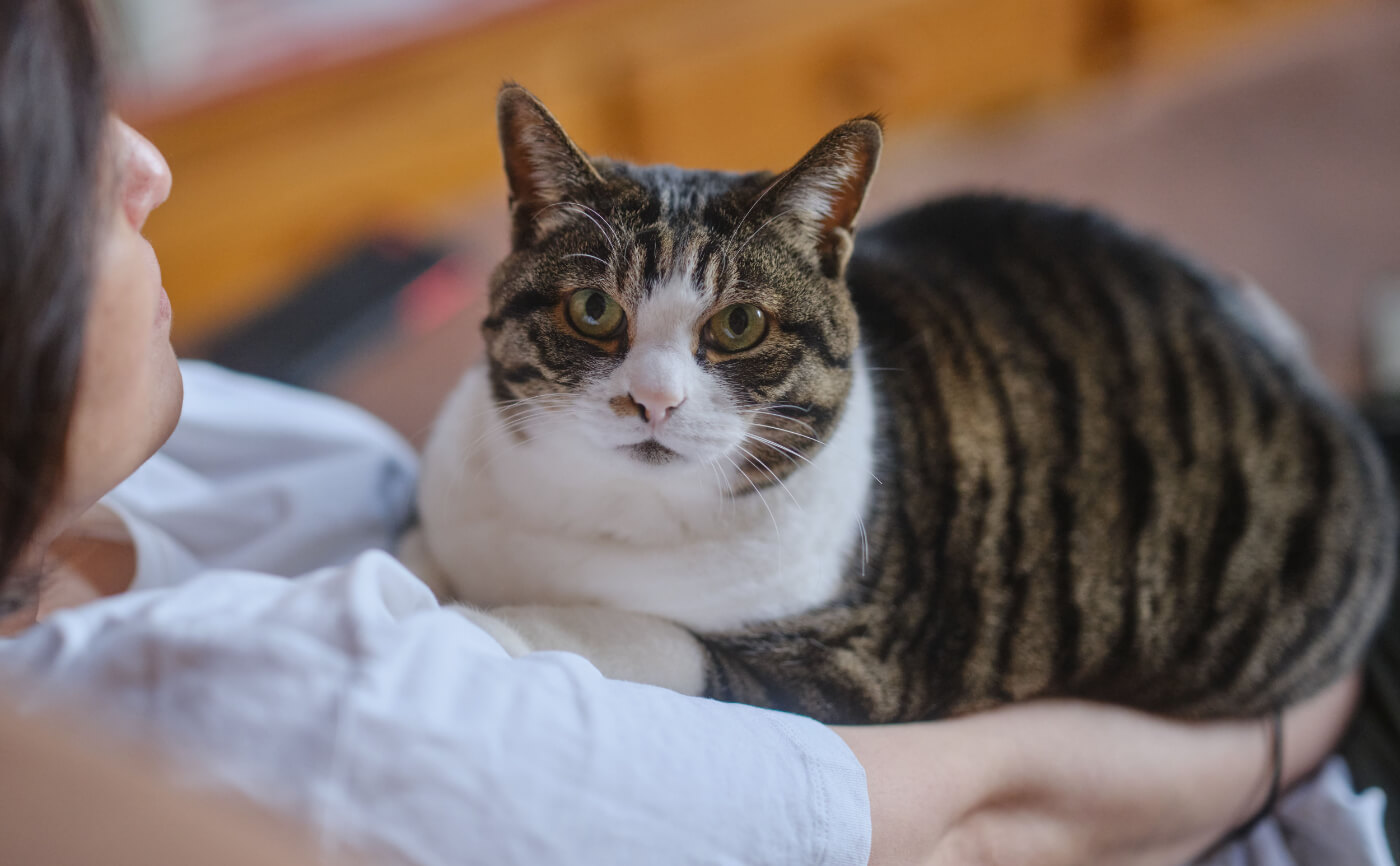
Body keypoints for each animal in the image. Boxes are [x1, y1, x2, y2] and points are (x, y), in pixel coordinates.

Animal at [397, 86, 1400, 727]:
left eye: (740, 325)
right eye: (594, 311)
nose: (654, 401)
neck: (596, 518)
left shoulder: (854, 666)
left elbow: (645, 636)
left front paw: (478, 626)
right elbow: (422, 547)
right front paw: (415, 571)